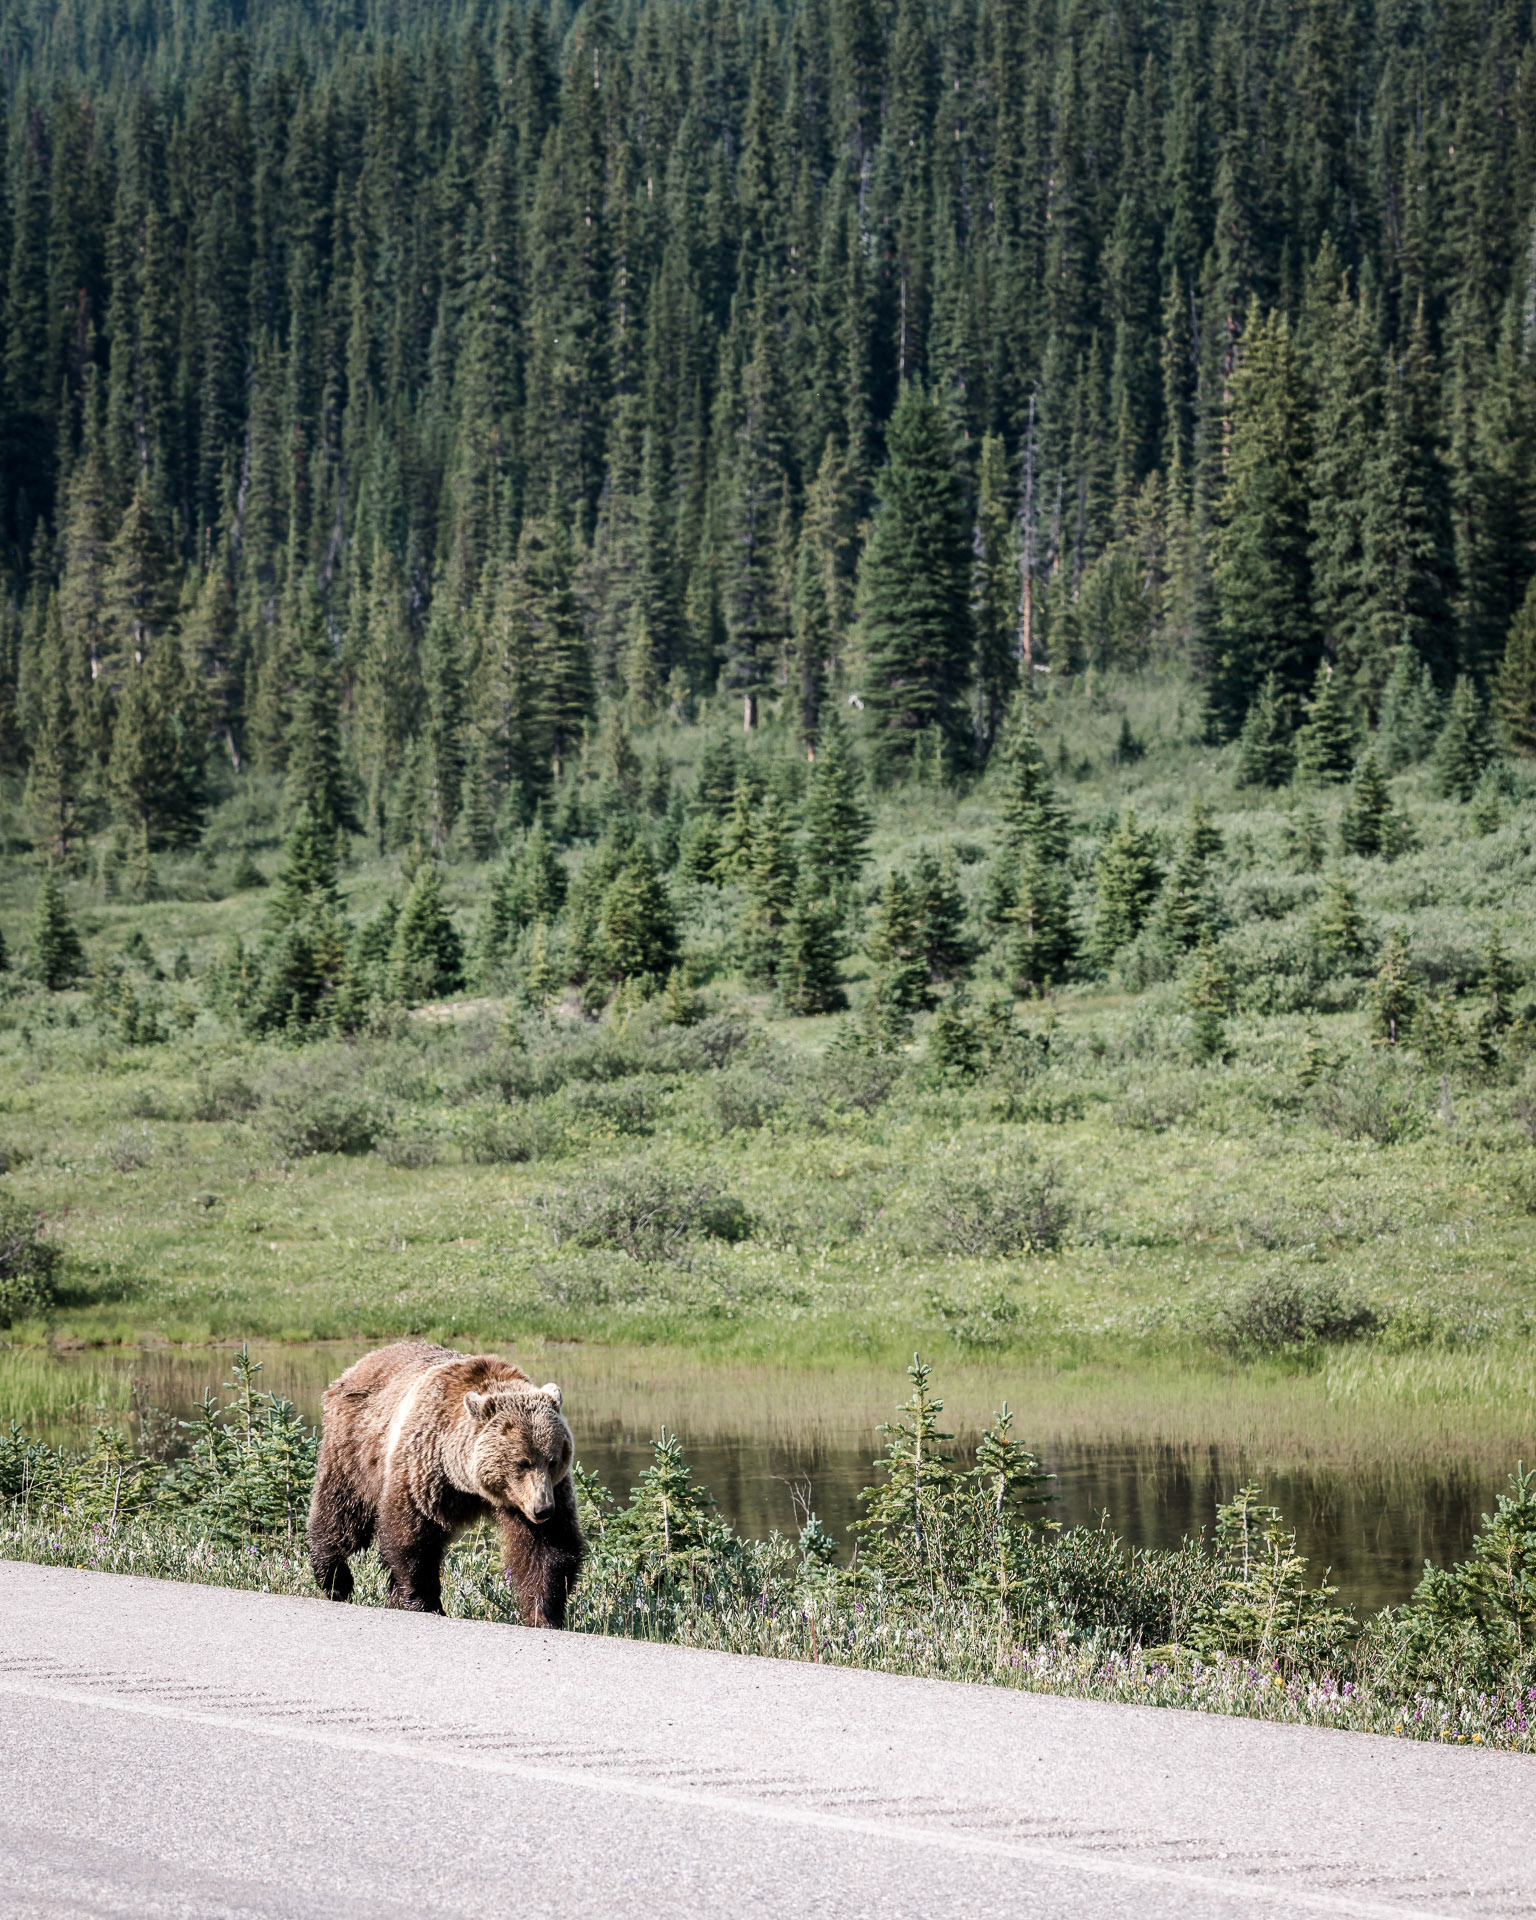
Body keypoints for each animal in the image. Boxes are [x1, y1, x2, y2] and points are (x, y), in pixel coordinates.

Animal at [307, 1340, 585, 1626]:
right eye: (522, 1462)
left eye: (553, 1460)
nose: (543, 1510)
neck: (469, 1483)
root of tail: (361, 1363)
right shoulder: (426, 1469)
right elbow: (412, 1535)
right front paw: (426, 1602)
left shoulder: (544, 1492)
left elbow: (548, 1546)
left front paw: (544, 1614)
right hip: (356, 1446)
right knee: (342, 1510)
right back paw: (334, 1578)